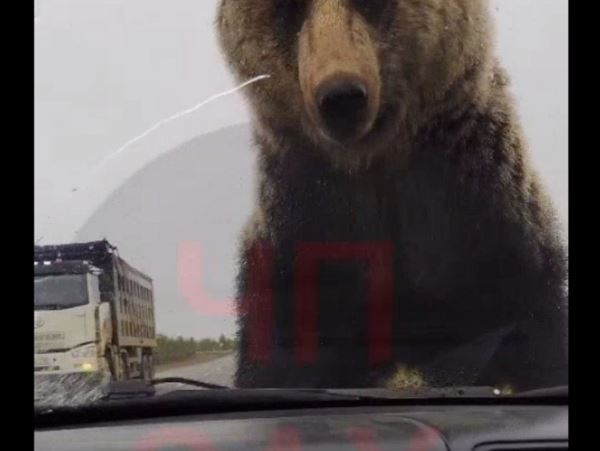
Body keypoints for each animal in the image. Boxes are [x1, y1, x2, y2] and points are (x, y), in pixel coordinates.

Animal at [216, 0, 568, 392]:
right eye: (286, 8)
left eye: (372, 3)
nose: (341, 96)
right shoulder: (304, 240)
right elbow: (283, 359)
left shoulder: (482, 223)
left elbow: (530, 343)